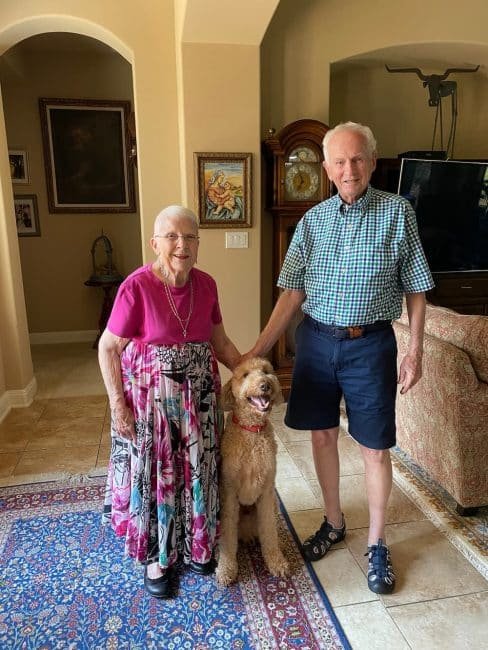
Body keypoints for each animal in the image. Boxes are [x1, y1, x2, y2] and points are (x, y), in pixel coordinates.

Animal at [215, 357, 290, 586]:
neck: (252, 432)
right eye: (246, 375)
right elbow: (228, 538)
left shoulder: (266, 492)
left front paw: (276, 562)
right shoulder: (229, 493)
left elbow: (269, 531)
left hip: (271, 506)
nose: (265, 384)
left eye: (266, 371)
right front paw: (227, 568)